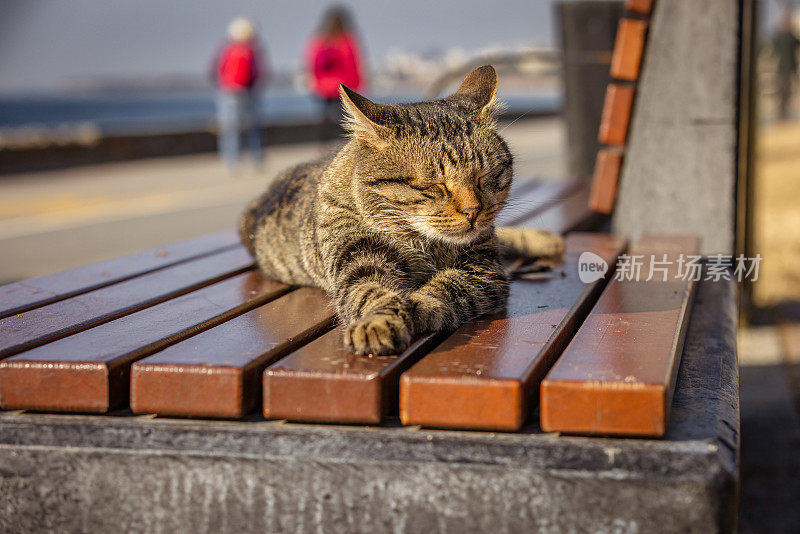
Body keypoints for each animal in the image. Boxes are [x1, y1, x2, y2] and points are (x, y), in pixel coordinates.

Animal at [241, 66, 564, 356]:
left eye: (484, 177)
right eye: (434, 186)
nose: (472, 210)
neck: (425, 243)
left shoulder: (485, 267)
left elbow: (450, 287)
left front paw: (417, 304)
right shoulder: (356, 255)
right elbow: (370, 291)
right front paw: (379, 322)